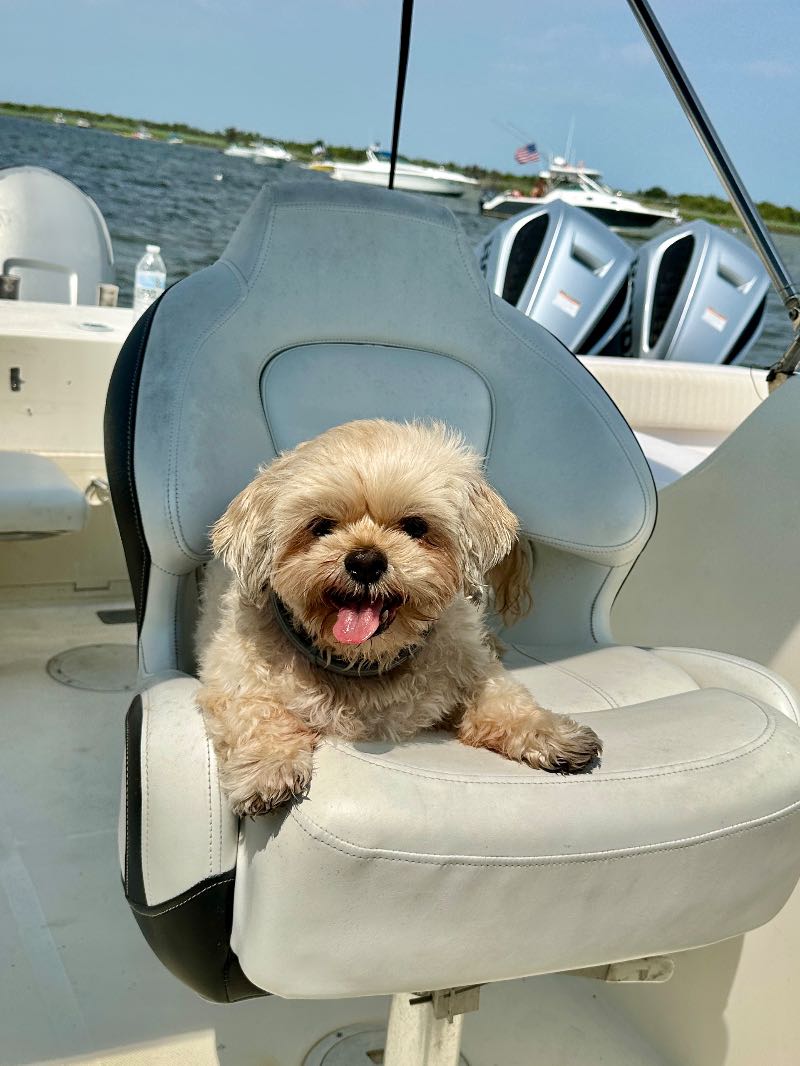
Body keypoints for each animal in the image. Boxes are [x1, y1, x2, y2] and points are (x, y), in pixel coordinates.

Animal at [197, 419, 601, 815]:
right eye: (320, 526)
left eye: (416, 526)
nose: (364, 561)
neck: (362, 662)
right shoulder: (230, 676)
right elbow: (256, 713)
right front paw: (269, 767)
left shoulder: (472, 668)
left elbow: (506, 699)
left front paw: (552, 733)